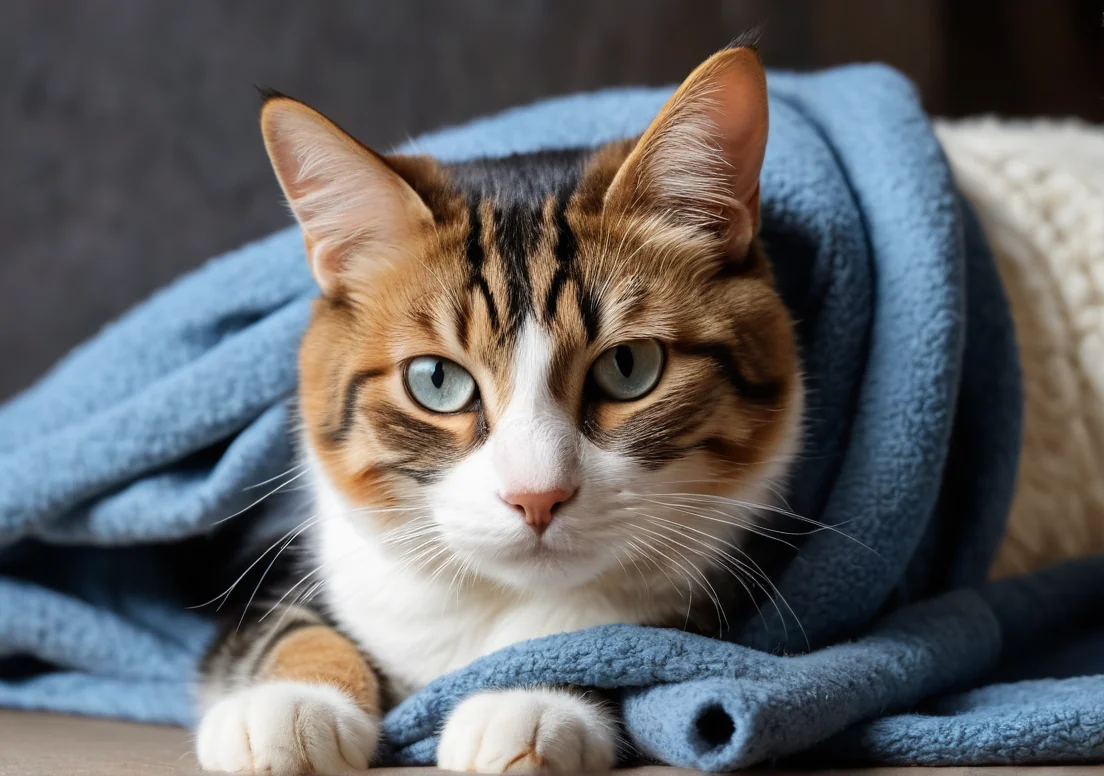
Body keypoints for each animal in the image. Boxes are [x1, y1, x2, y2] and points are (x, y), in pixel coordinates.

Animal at [196, 45, 803, 772]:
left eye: (629, 367)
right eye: (435, 380)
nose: (536, 497)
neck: (498, 600)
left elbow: (629, 644)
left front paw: (525, 701)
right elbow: (282, 623)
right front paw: (290, 704)